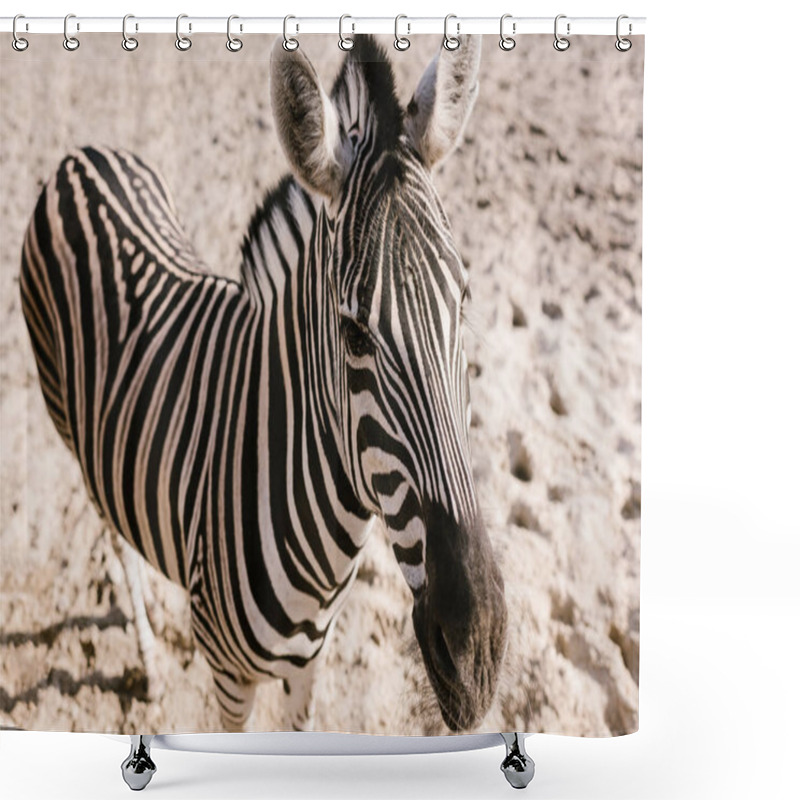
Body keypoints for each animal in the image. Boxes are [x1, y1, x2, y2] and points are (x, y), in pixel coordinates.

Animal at [18, 36, 506, 736]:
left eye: (464, 303)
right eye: (353, 334)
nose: (476, 653)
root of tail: (79, 156)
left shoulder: (309, 667)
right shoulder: (229, 679)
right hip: (64, 417)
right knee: (113, 531)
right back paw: (149, 661)